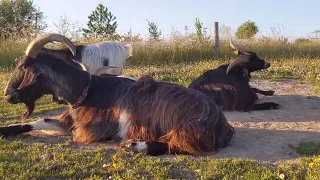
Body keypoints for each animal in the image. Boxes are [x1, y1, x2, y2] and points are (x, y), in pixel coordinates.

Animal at [0, 33, 235, 156]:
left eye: (24, 68)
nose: (7, 95)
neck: (87, 90)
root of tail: (219, 119)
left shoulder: (91, 130)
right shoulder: (68, 120)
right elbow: (37, 122)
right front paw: (4, 130)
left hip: (186, 126)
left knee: (182, 146)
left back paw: (135, 144)